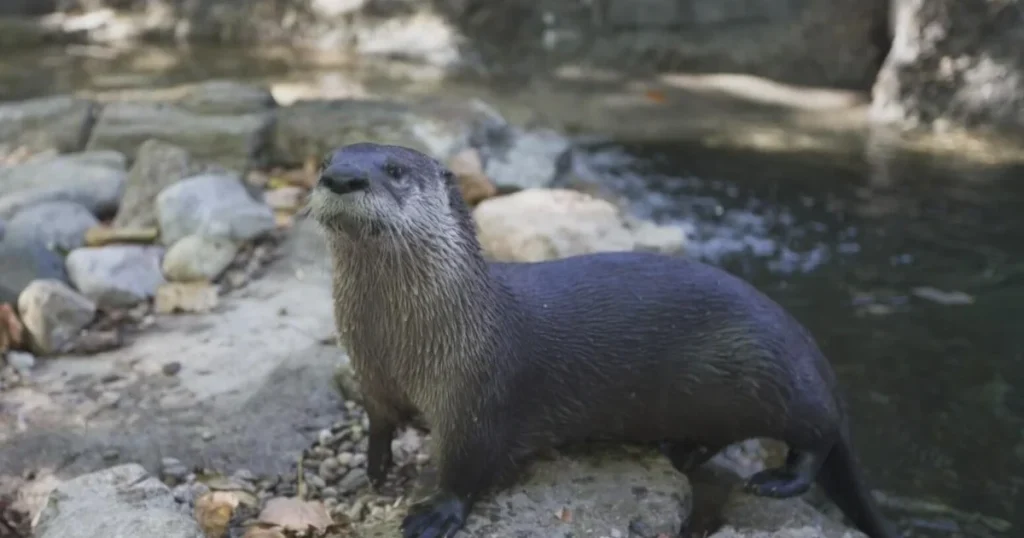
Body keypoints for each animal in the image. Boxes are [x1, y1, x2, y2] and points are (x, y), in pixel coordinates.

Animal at [308, 142, 900, 538]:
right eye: (327, 161)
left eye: (395, 171)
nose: (341, 177)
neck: (400, 346)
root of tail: (810, 348)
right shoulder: (371, 377)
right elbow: (379, 422)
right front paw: (376, 467)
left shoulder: (476, 392)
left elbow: (468, 463)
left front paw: (436, 513)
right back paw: (682, 450)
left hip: (776, 375)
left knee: (820, 436)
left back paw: (777, 479)